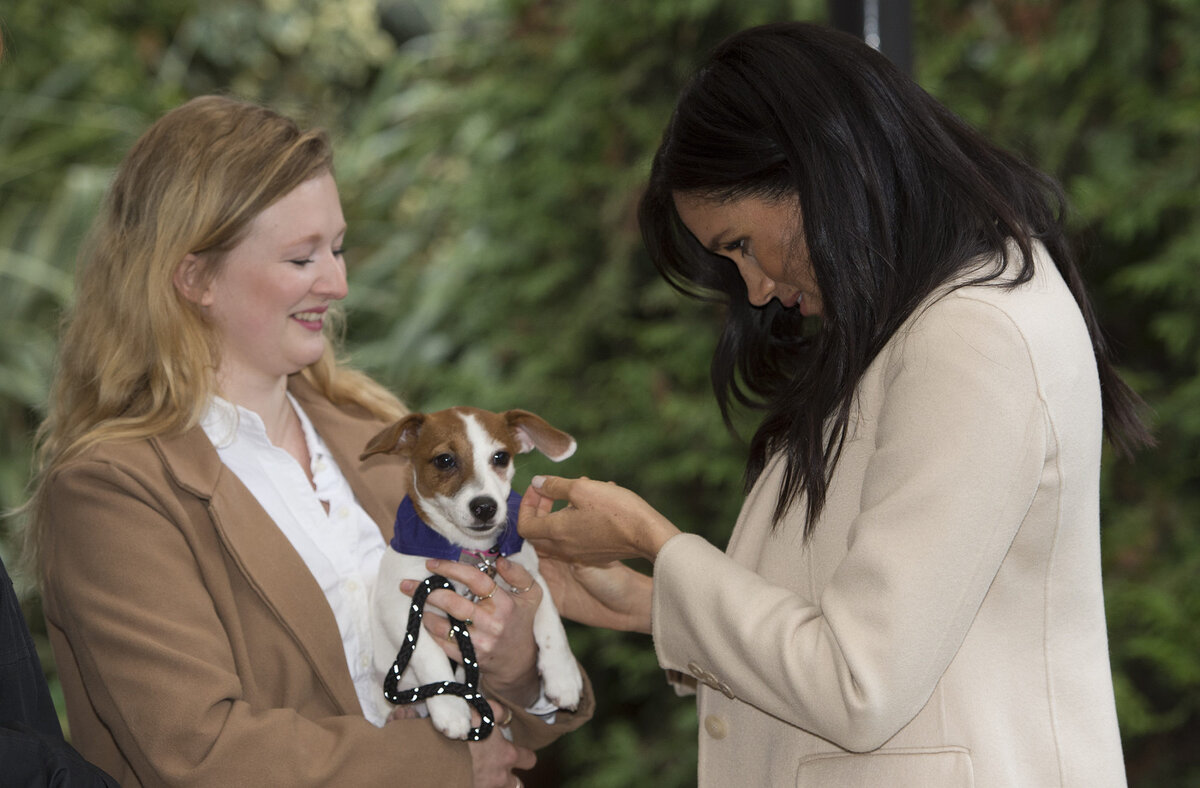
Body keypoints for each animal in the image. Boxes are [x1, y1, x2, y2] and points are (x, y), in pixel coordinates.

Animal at [357, 405, 583, 738]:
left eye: (501, 457)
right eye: (444, 460)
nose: (485, 507)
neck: (470, 553)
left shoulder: (531, 576)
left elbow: (550, 621)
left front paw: (563, 675)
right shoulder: (398, 606)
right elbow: (428, 653)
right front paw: (450, 707)